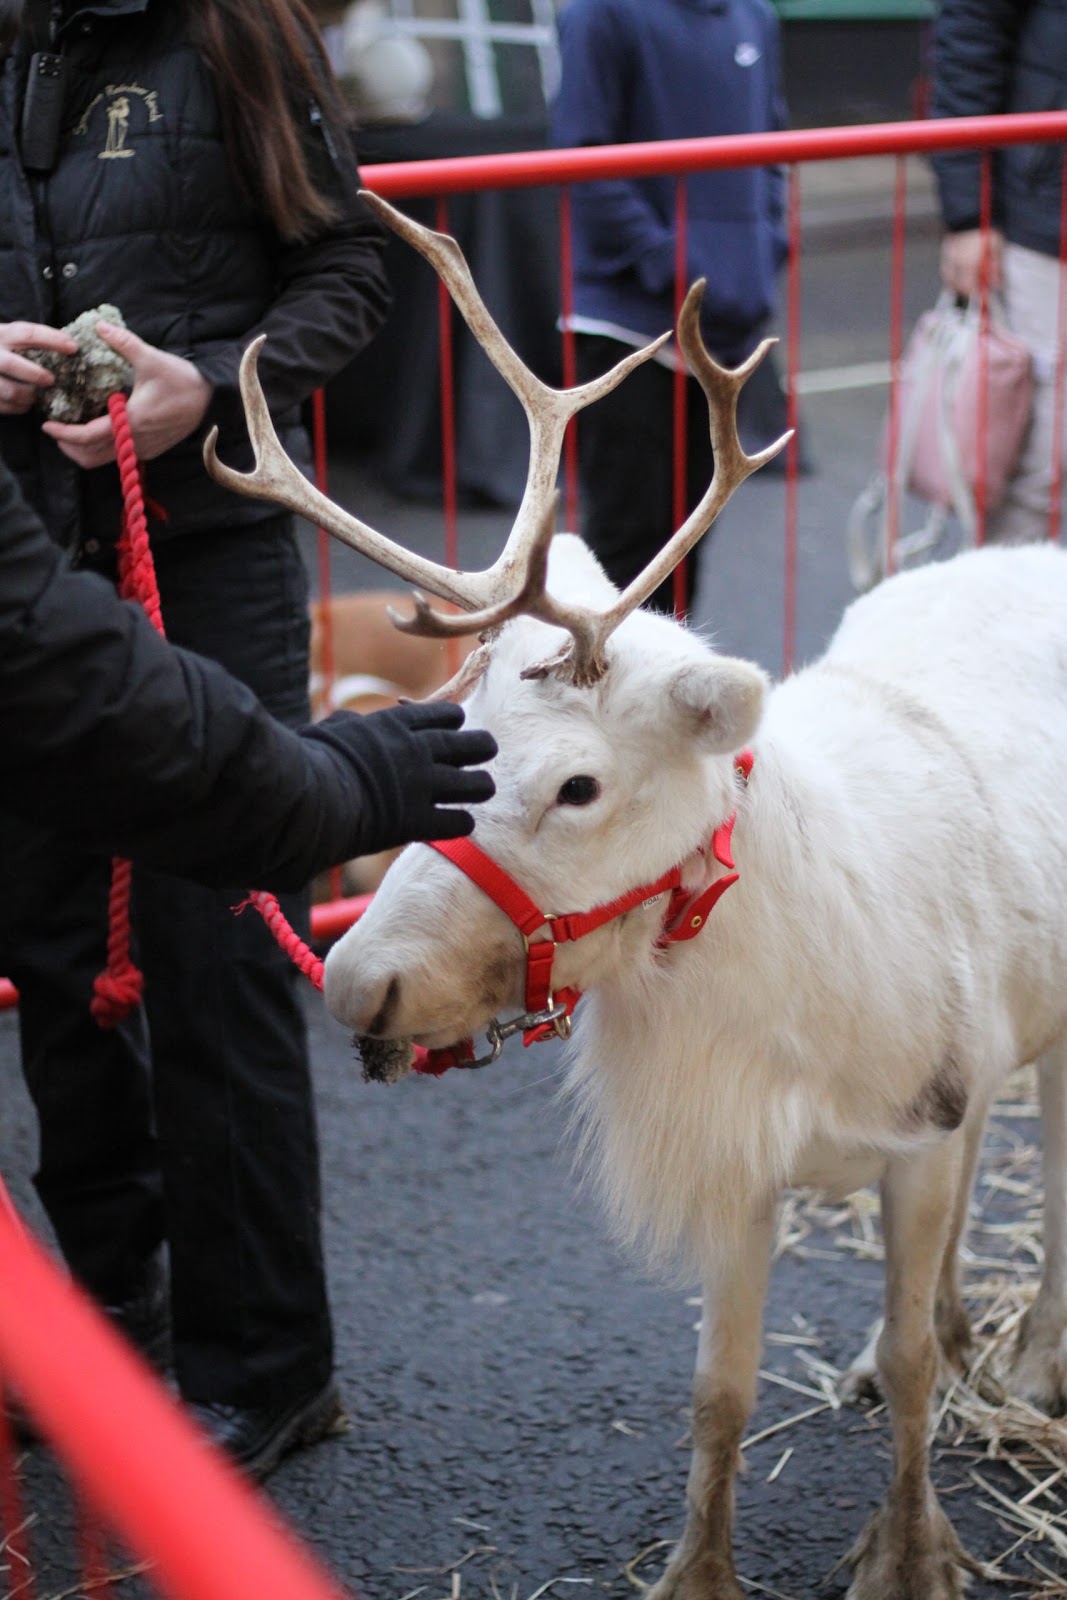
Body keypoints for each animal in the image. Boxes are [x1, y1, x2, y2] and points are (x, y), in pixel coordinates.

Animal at [205, 193, 1067, 1600]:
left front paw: (909, 1550)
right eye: (453, 731)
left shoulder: (920, 1132)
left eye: (576, 786)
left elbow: (902, 1373)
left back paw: (1032, 1353)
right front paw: (698, 1570)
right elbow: (718, 1395)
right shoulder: (743, 1158)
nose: (355, 979)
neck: (769, 986)